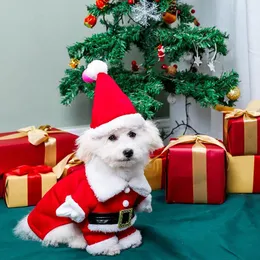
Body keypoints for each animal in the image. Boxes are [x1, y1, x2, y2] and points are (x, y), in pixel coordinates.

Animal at [13, 61, 162, 256]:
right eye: (111, 138)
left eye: (132, 134)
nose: (128, 152)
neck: (123, 179)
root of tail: (29, 226)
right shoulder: (90, 211)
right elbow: (97, 233)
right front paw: (108, 248)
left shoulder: (125, 210)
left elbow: (125, 227)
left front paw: (129, 240)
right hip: (63, 224)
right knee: (64, 237)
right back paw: (79, 242)